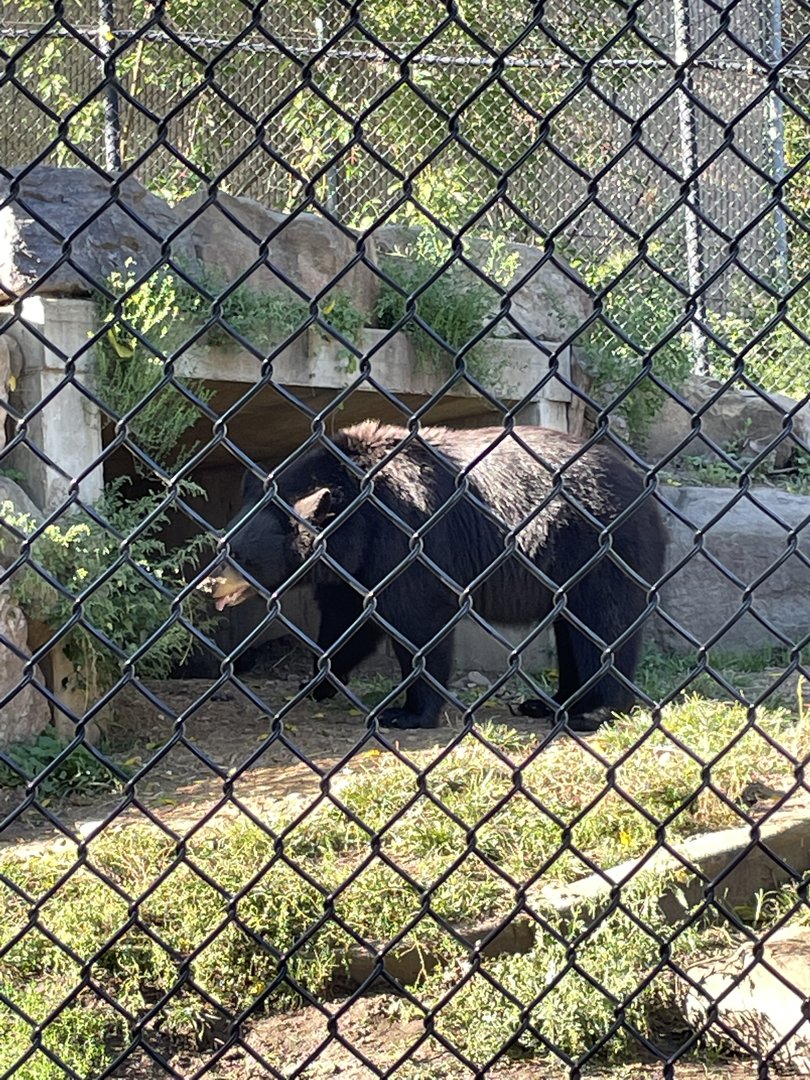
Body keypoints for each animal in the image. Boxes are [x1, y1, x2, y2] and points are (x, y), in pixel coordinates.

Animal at [201, 421, 665, 731]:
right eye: (219, 543)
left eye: (239, 555)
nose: (209, 585)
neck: (355, 514)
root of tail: (645, 491)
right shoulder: (359, 563)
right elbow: (347, 619)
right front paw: (318, 680)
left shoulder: (404, 534)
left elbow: (417, 620)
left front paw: (407, 712)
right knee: (573, 630)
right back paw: (551, 704)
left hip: (602, 548)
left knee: (603, 625)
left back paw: (592, 711)